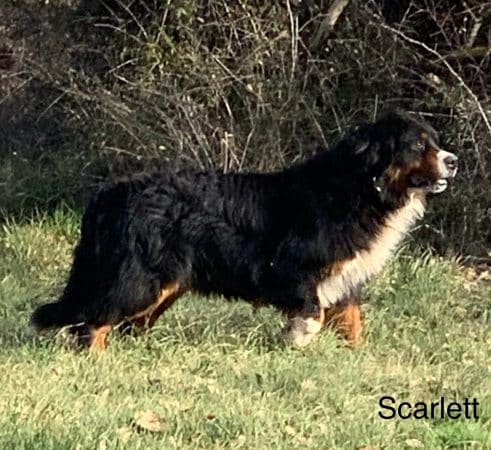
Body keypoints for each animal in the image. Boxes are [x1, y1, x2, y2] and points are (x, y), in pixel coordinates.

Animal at [32, 110, 460, 350]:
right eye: (417, 145)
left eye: (435, 143)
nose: (453, 160)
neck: (361, 188)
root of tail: (110, 191)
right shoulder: (294, 271)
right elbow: (312, 314)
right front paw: (296, 342)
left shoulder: (345, 281)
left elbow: (352, 325)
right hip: (140, 279)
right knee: (93, 322)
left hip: (164, 286)